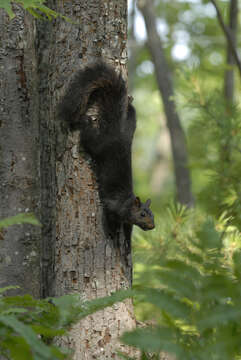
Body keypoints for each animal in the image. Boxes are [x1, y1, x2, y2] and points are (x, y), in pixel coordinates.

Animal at [58, 63, 154, 233]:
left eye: (153, 215)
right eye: (142, 214)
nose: (153, 226)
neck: (127, 203)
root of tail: (115, 130)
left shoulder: (127, 221)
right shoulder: (112, 207)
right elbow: (109, 219)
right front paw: (111, 233)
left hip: (130, 126)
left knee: (132, 115)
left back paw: (130, 106)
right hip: (97, 143)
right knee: (88, 135)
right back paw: (86, 121)